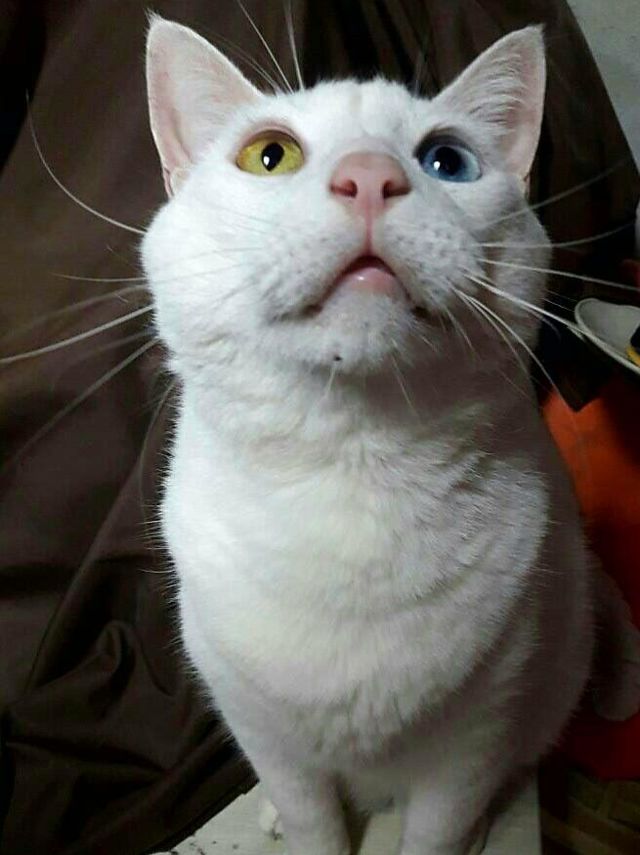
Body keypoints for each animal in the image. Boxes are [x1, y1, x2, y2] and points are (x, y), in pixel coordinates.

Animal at [141, 16, 640, 855]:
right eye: (268, 154)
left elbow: (435, 829)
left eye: (448, 161)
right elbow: (312, 816)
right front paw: (301, 825)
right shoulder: (259, 724)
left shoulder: (478, 735)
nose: (370, 176)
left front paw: (451, 835)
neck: (352, 475)